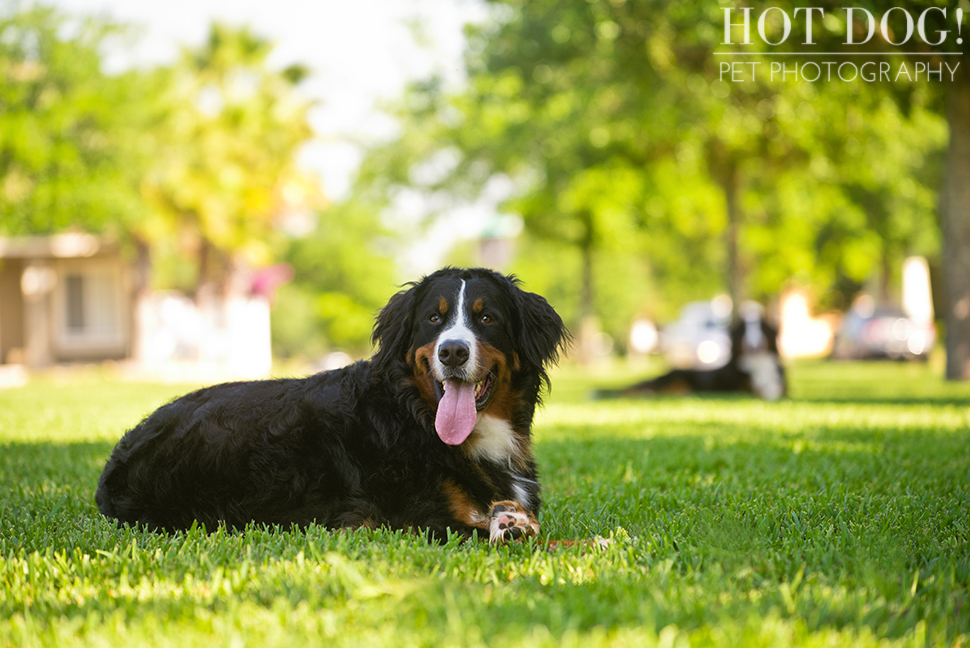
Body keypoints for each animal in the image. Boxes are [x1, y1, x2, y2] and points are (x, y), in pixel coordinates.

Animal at [96, 266, 568, 544]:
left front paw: (512, 520)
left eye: (487, 318)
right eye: (434, 319)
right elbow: (544, 540)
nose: (452, 351)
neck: (413, 416)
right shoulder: (420, 519)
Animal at [596, 312, 788, 400]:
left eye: (761, 329)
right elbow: (764, 390)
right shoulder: (745, 386)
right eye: (744, 332)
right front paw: (770, 394)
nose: (753, 344)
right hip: (672, 379)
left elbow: (778, 388)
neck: (760, 364)